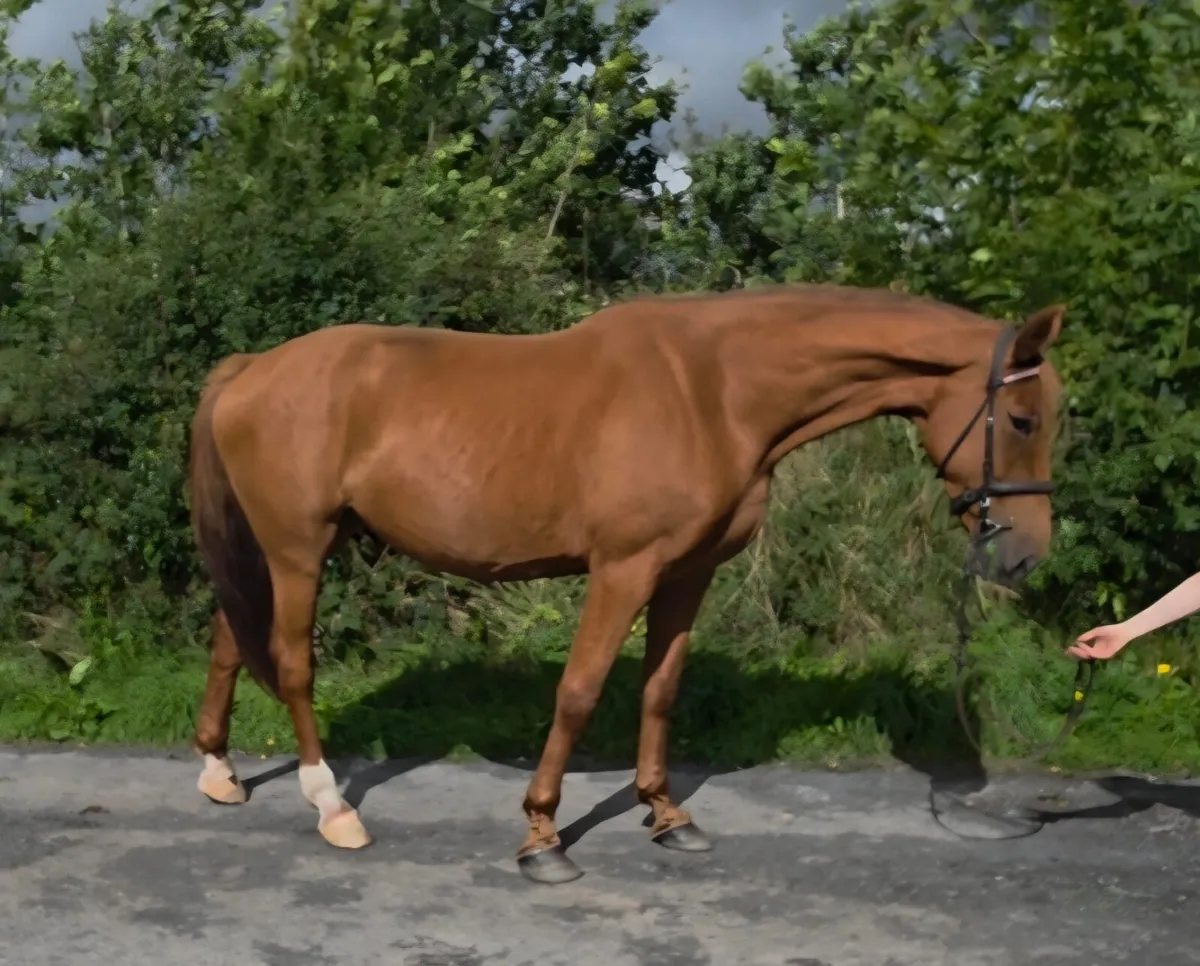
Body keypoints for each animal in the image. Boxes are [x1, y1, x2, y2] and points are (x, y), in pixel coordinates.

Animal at [185, 282, 1064, 884]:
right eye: (1023, 421)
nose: (1025, 555)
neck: (714, 391)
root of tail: (252, 368)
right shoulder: (623, 568)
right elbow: (579, 692)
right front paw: (542, 837)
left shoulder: (688, 572)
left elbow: (659, 691)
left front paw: (667, 814)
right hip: (300, 548)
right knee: (292, 665)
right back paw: (332, 807)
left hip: (285, 547)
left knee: (229, 638)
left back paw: (220, 773)